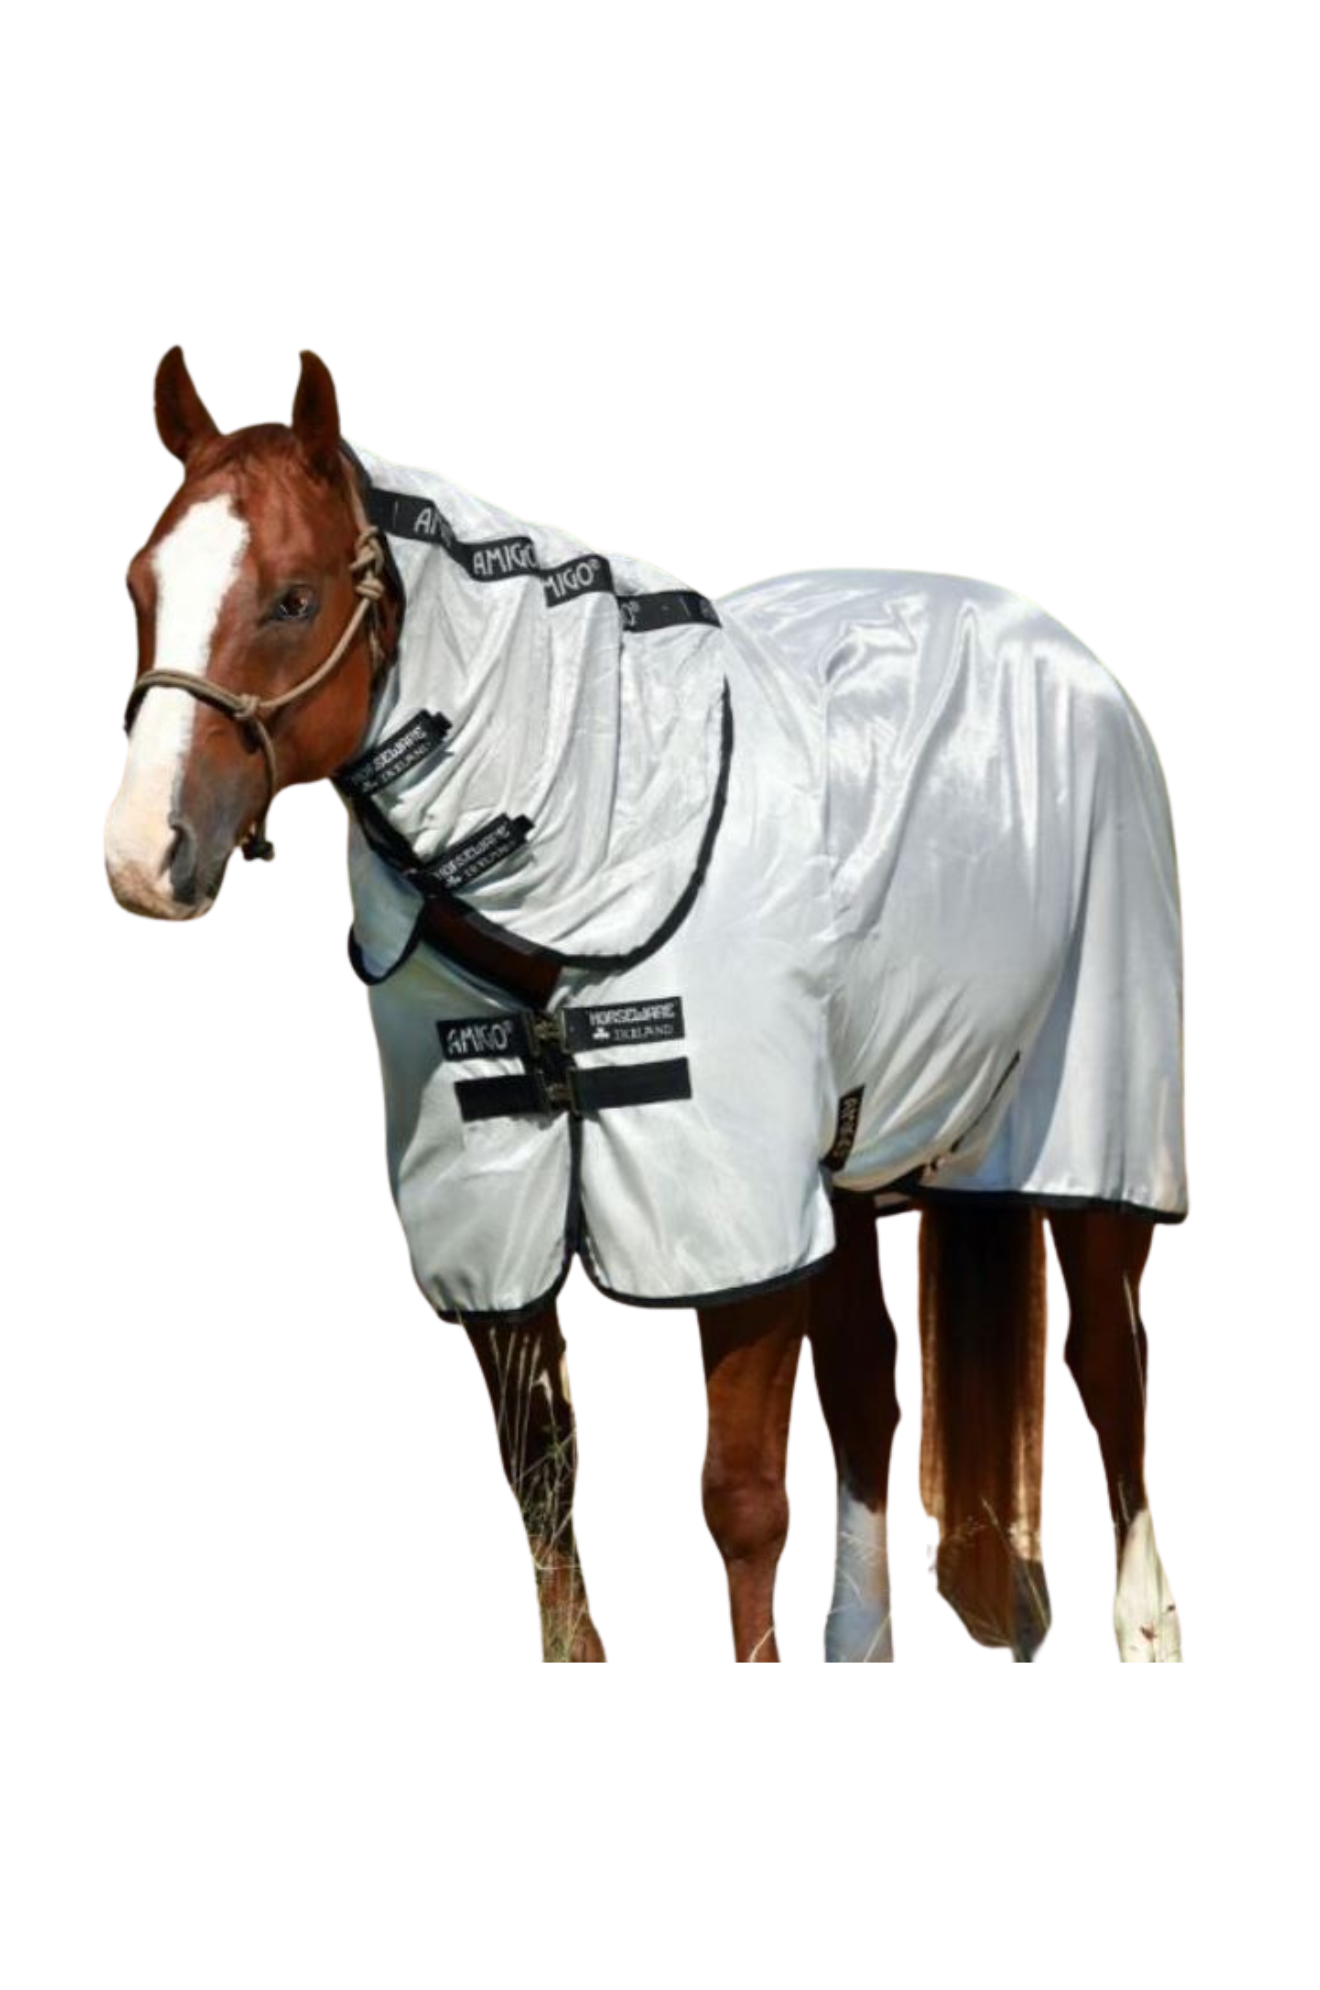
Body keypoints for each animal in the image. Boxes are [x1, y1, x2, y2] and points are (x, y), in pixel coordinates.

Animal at [105, 343, 1189, 1662]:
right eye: (139, 585)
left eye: (293, 600)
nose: (142, 853)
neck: (592, 836)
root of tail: (1063, 653)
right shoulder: (496, 1208)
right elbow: (546, 1490)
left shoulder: (729, 1213)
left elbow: (742, 1502)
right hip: (848, 1162)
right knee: (871, 1393)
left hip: (1094, 1128)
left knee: (1111, 1377)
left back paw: (1148, 1625)